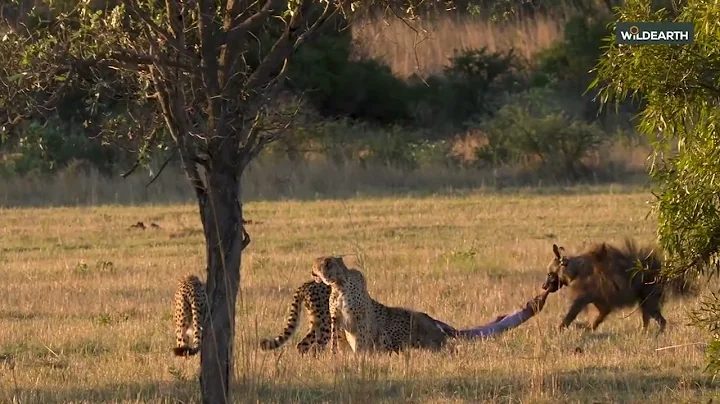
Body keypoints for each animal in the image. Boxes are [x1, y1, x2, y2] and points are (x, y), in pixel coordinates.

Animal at [311, 256, 449, 354]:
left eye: (315, 266)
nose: (311, 272)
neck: (338, 284)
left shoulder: (361, 317)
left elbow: (361, 339)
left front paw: (359, 356)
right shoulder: (336, 318)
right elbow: (335, 340)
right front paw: (333, 356)